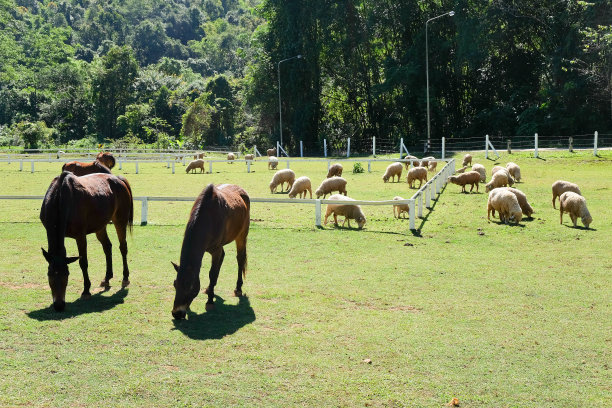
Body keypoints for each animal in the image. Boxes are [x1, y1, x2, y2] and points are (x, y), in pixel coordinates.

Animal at [40, 171, 133, 310]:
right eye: (49, 274)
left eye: (67, 274)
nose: (59, 305)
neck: (60, 196)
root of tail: (118, 179)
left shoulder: (80, 236)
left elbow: (83, 262)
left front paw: (86, 291)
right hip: (100, 226)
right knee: (107, 247)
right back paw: (107, 278)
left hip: (120, 221)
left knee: (123, 247)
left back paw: (125, 277)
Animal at [171, 183, 250, 320]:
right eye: (175, 284)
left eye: (190, 287)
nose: (176, 313)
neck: (207, 218)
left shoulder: (215, 251)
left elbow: (212, 274)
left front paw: (209, 302)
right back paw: (210, 288)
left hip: (241, 235)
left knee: (240, 259)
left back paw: (238, 288)